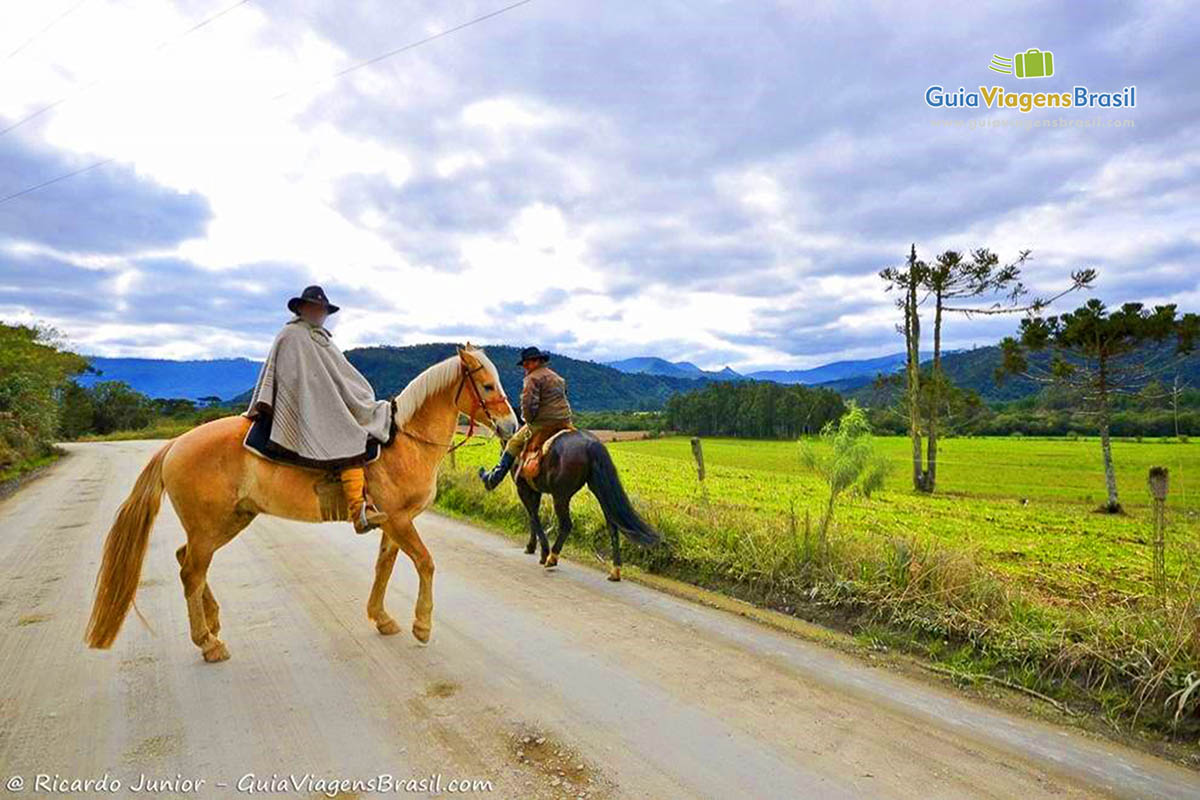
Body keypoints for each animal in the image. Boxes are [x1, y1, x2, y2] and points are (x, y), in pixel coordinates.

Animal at [84, 345, 516, 662]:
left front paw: (381, 618)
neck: (404, 442)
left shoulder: (394, 522)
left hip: (228, 521)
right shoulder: (398, 520)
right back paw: (208, 642)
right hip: (210, 525)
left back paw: (213, 623)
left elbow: (384, 567)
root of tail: (174, 444)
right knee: (191, 572)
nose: (512, 426)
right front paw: (421, 625)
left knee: (184, 560)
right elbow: (425, 563)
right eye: (487, 386)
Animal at [508, 431, 657, 582]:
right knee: (613, 527)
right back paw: (615, 571)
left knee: (566, 525)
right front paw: (532, 546)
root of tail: (592, 444)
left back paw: (552, 557)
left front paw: (542, 551)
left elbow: (533, 516)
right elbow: (533, 516)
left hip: (561, 496)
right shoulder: (534, 490)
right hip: (599, 490)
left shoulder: (523, 489)